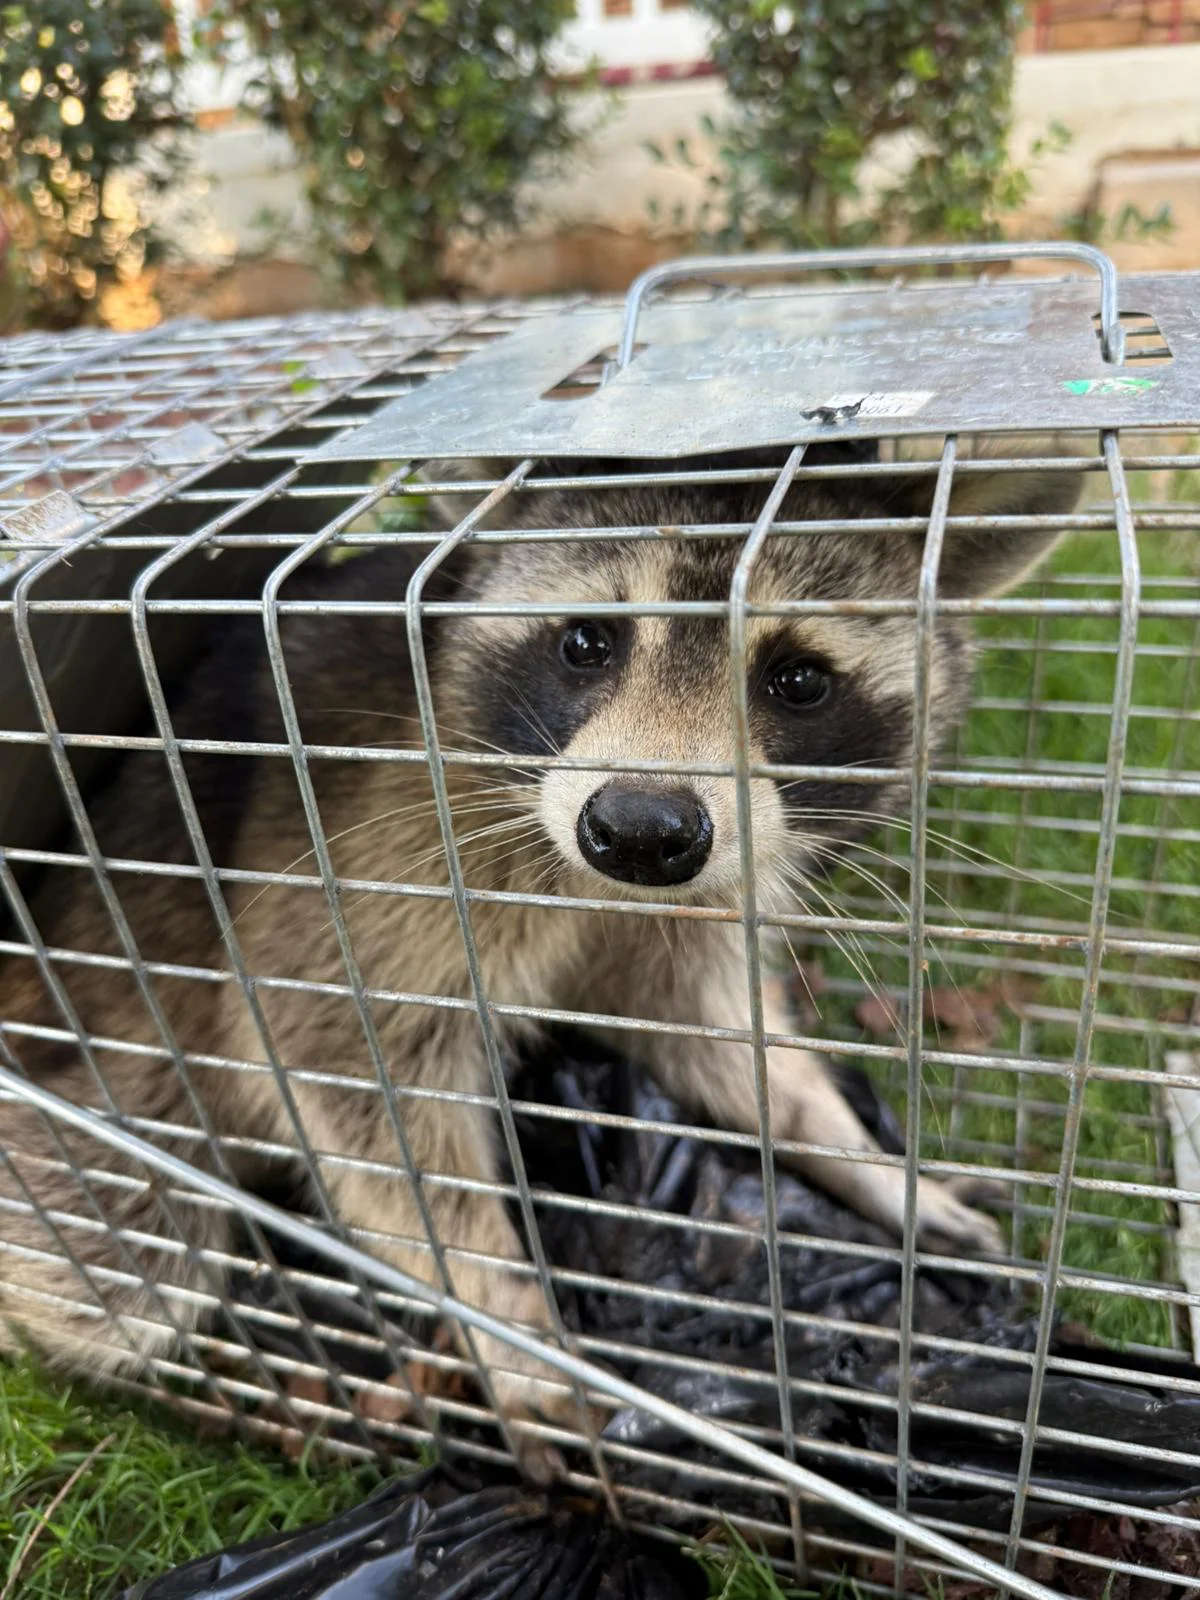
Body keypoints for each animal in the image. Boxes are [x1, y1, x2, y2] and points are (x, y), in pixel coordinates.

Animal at [0, 445, 1077, 1479]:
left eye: (798, 678)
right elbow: (348, 1063)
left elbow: (713, 1031)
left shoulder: (688, 893)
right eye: (586, 643)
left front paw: (856, 1154)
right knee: (118, 1274)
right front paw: (504, 1314)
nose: (642, 828)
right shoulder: (375, 832)